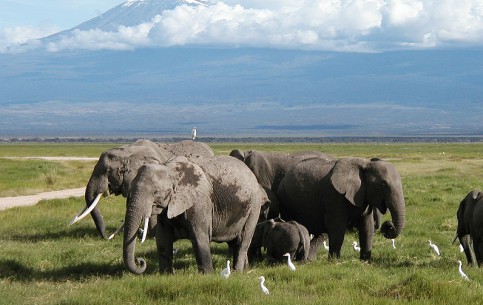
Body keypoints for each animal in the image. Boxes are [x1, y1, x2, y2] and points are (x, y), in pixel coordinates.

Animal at [120, 154, 264, 274]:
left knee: (242, 240)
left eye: (156, 192)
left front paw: (208, 276)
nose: (140, 261)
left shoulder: (200, 203)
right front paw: (166, 275)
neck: (170, 169)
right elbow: (162, 240)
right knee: (234, 243)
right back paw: (245, 270)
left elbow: (199, 238)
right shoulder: (167, 208)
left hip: (254, 207)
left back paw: (237, 272)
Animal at [278, 158, 406, 260]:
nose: (389, 226)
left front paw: (365, 260)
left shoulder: (363, 196)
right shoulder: (334, 196)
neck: (365, 164)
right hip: (286, 201)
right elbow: (337, 228)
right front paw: (334, 260)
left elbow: (367, 227)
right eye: (383, 184)